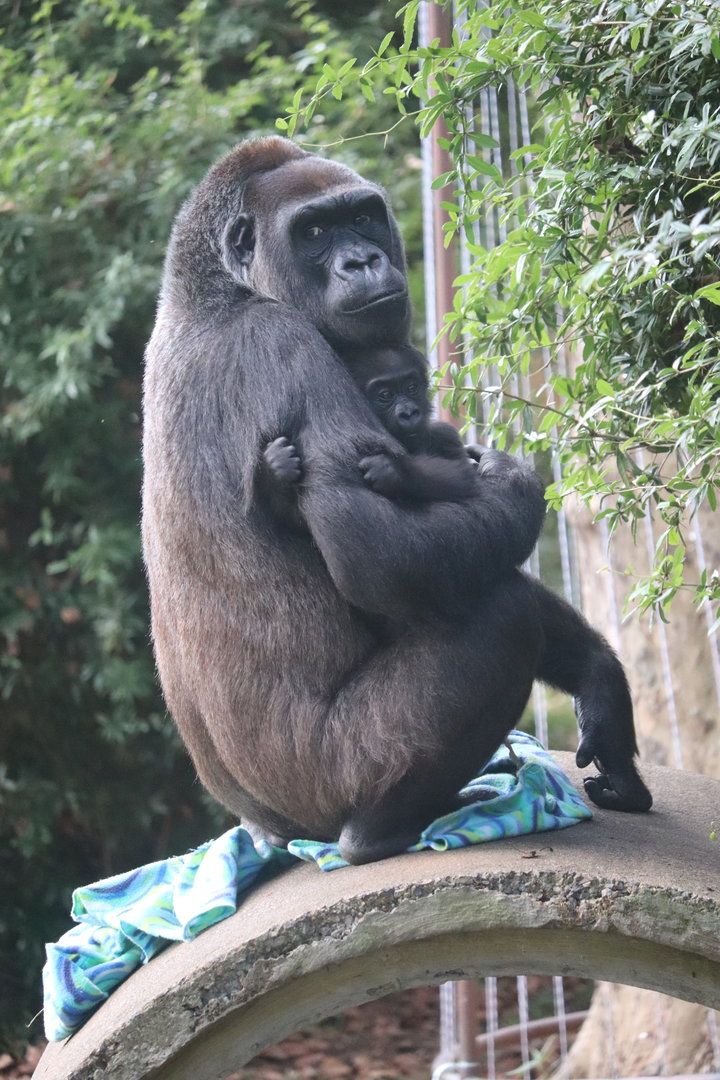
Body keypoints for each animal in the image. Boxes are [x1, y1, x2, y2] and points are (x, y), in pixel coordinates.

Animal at [142, 137, 651, 866]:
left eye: (362, 217)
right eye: (314, 232)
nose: (362, 259)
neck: (212, 292)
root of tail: (284, 836)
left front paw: (599, 682)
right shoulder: (281, 344)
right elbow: (384, 558)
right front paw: (515, 484)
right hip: (329, 787)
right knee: (504, 611)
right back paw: (382, 828)